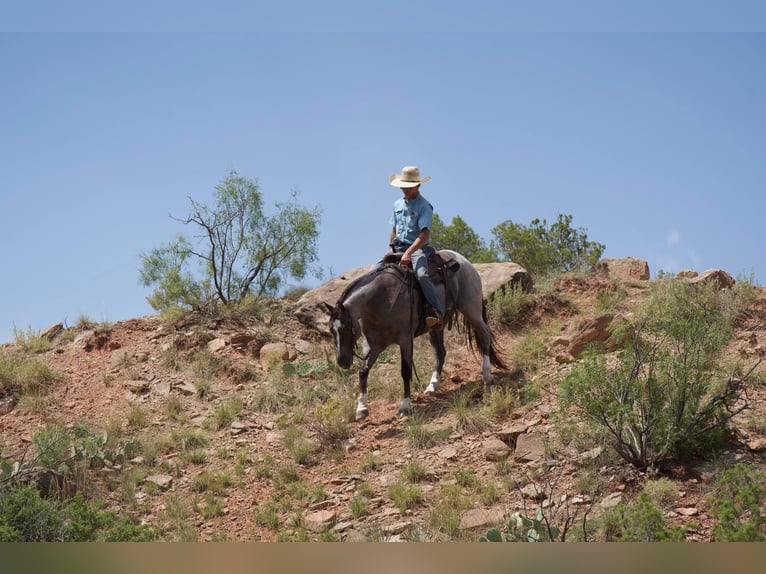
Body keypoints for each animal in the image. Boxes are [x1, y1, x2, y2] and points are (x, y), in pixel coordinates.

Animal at [326, 249, 506, 421]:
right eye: (331, 330)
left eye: (346, 328)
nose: (342, 361)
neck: (381, 300)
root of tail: (463, 260)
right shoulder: (374, 345)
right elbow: (363, 371)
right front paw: (361, 409)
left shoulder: (405, 340)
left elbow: (405, 371)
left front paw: (404, 406)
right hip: (436, 327)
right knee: (440, 352)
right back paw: (432, 386)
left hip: (472, 310)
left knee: (484, 336)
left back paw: (487, 375)